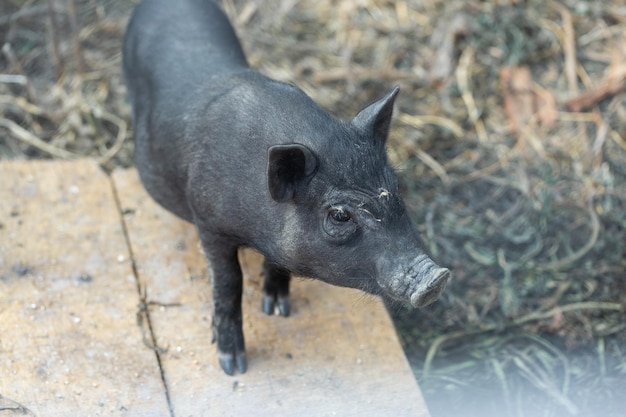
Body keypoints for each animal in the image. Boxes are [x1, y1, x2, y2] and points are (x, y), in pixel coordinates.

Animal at [122, 0, 446, 374]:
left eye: (395, 187)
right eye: (339, 215)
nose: (436, 276)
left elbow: (276, 266)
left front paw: (278, 310)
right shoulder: (208, 222)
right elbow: (228, 283)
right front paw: (234, 366)